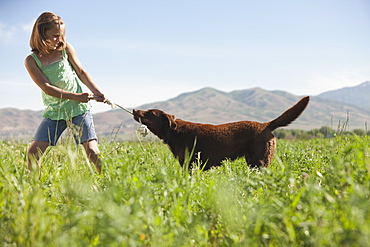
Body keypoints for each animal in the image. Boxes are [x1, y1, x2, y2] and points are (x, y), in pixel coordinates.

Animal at [133, 96, 310, 170]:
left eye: (149, 113)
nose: (134, 109)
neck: (174, 131)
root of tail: (266, 125)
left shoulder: (190, 165)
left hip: (260, 162)